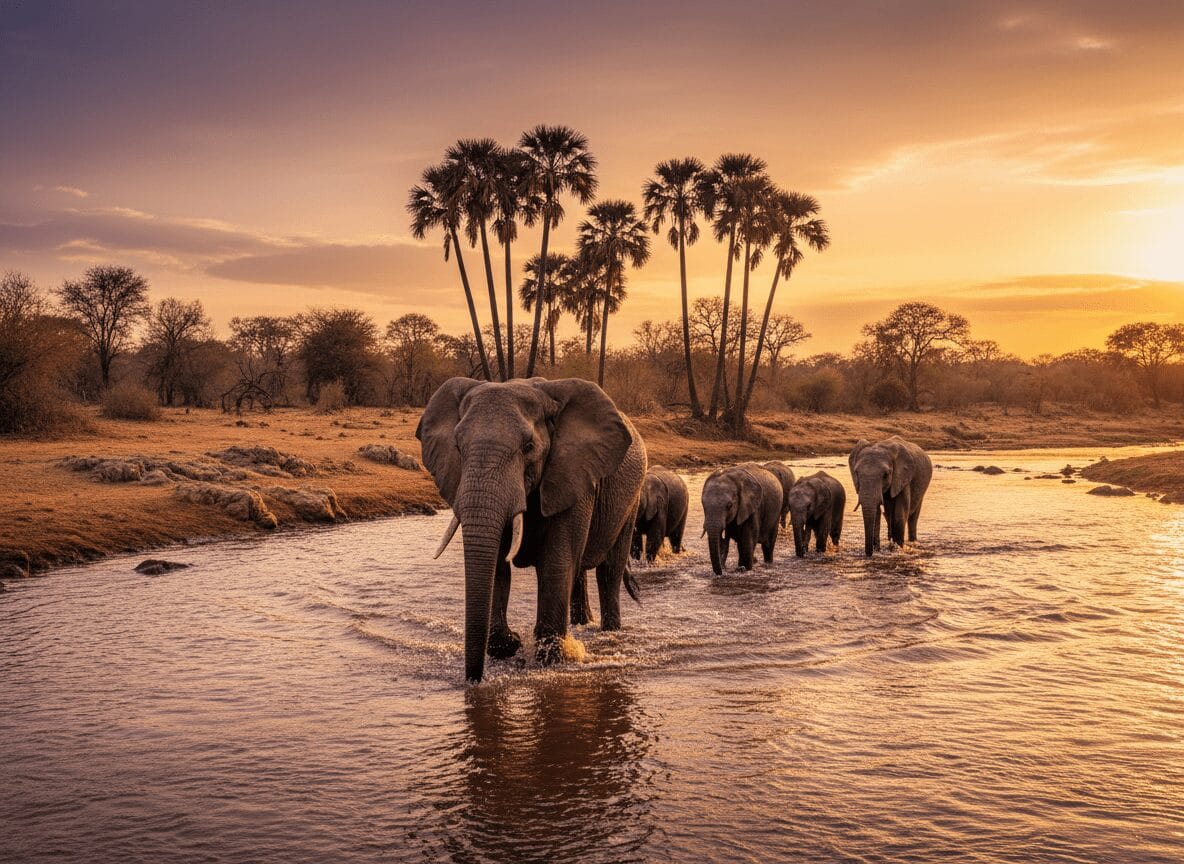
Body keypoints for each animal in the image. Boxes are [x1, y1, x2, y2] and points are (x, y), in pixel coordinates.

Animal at [417, 377, 646, 683]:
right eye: (457, 445)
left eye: (528, 446)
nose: (474, 681)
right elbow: (498, 567)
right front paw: (510, 643)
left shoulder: (571, 475)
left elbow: (555, 564)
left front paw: (549, 660)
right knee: (580, 571)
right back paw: (581, 624)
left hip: (631, 499)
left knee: (609, 571)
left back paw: (609, 633)